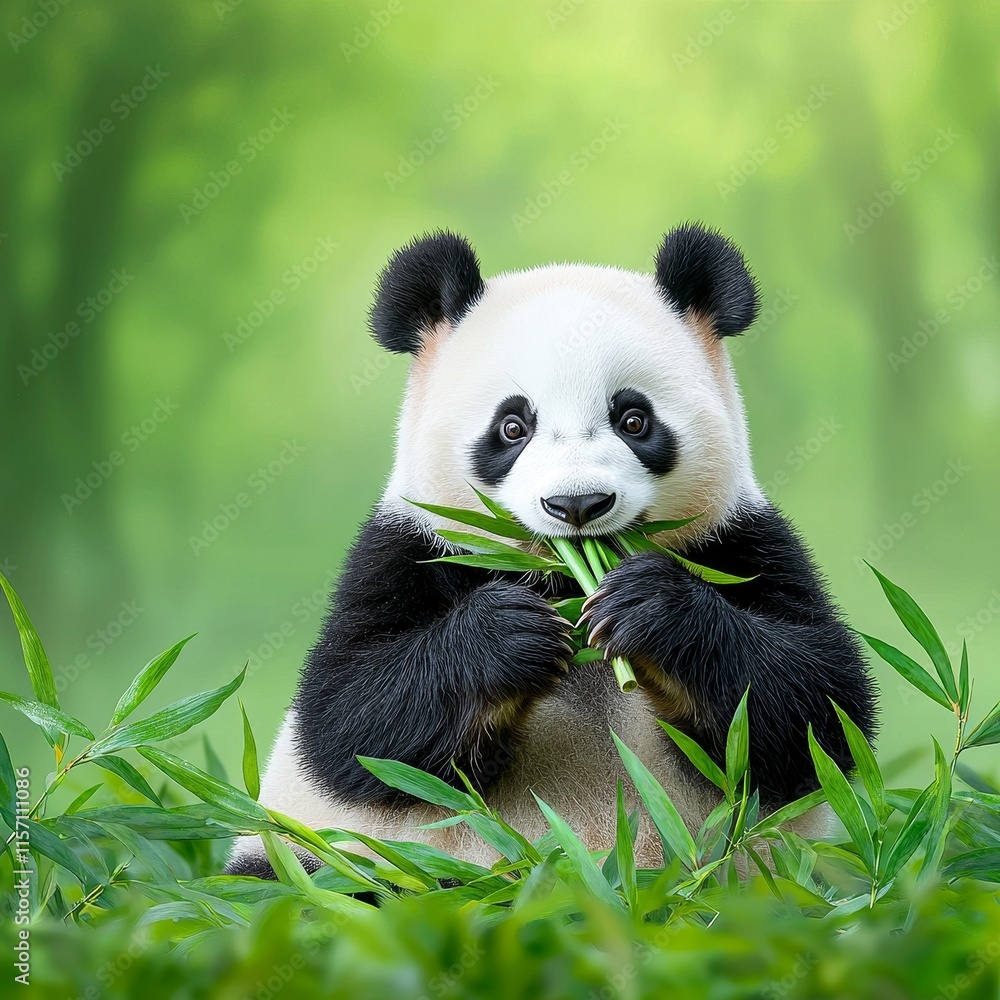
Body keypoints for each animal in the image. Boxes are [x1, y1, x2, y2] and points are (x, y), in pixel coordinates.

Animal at [227, 224, 877, 877]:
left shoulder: (735, 540)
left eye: (633, 419)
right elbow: (350, 720)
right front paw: (512, 632)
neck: (563, 579)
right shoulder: (410, 548)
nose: (578, 504)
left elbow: (814, 705)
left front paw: (648, 608)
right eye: (513, 427)